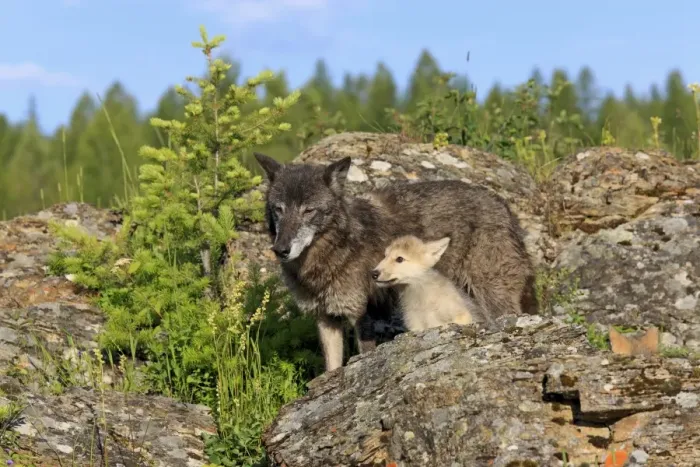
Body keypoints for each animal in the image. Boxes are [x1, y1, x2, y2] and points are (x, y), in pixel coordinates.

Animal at [254, 152, 537, 372]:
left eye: (308, 210)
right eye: (278, 209)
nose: (281, 250)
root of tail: (504, 208)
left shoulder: (361, 316)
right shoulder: (326, 319)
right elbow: (332, 368)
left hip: (493, 299)